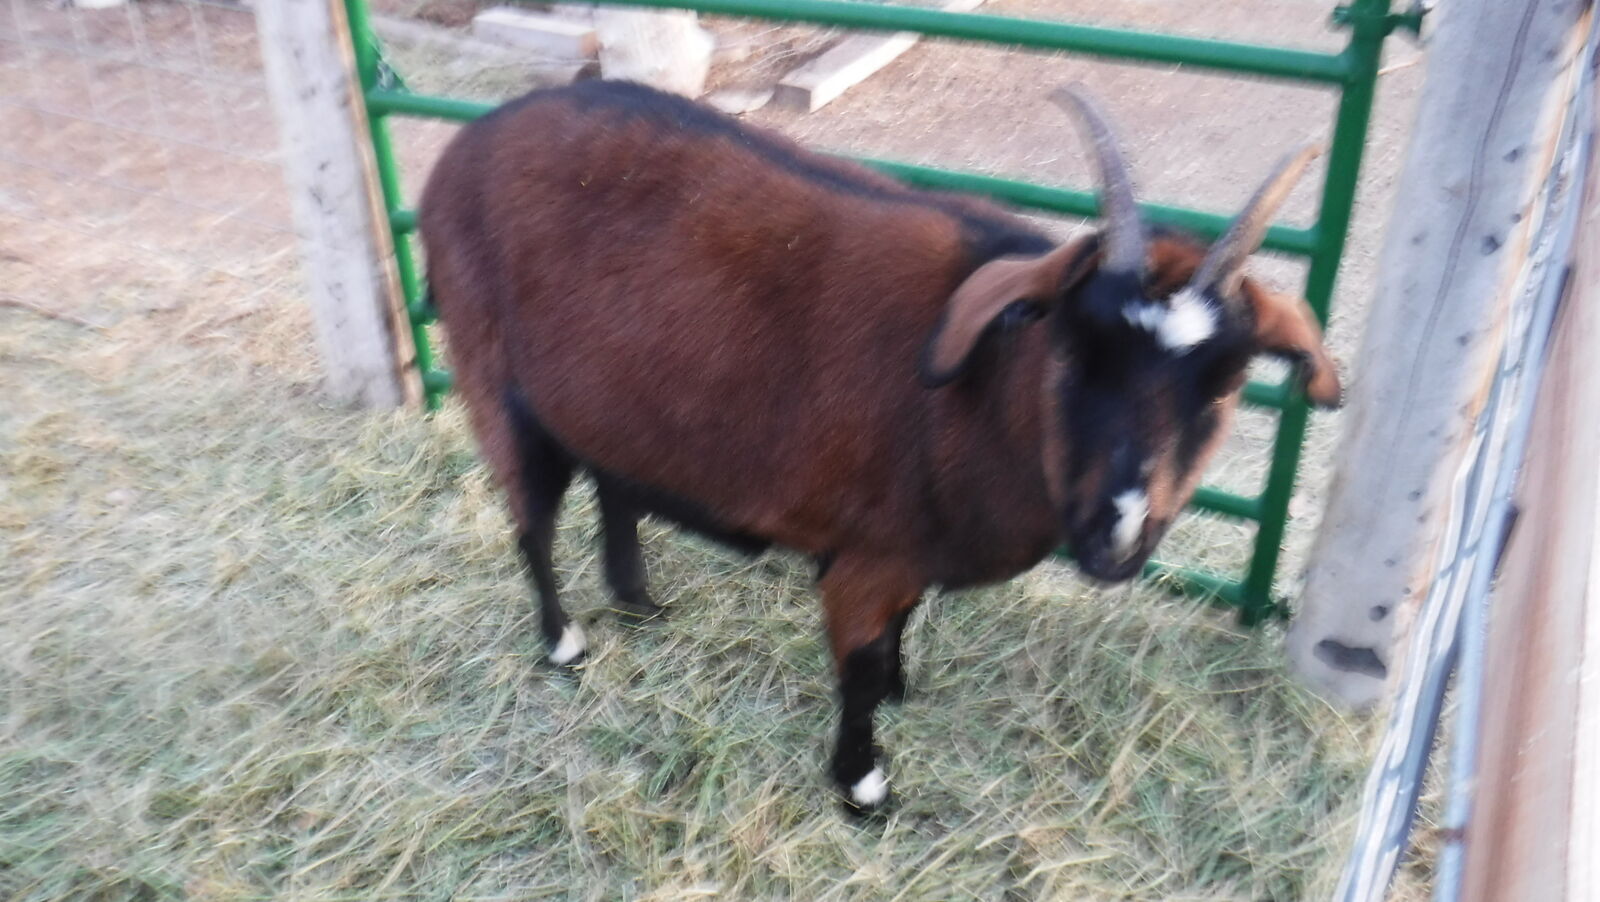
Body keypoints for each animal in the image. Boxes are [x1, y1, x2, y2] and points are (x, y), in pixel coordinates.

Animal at [418, 80, 1342, 811]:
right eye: (1076, 351)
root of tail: (469, 140)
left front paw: (903, 689)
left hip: (607, 399)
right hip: (494, 379)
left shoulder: (908, 557)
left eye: (1224, 385)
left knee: (613, 481)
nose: (1117, 532)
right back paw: (565, 644)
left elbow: (899, 634)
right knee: (531, 521)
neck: (981, 401)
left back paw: (639, 600)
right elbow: (857, 671)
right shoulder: (867, 557)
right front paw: (864, 784)